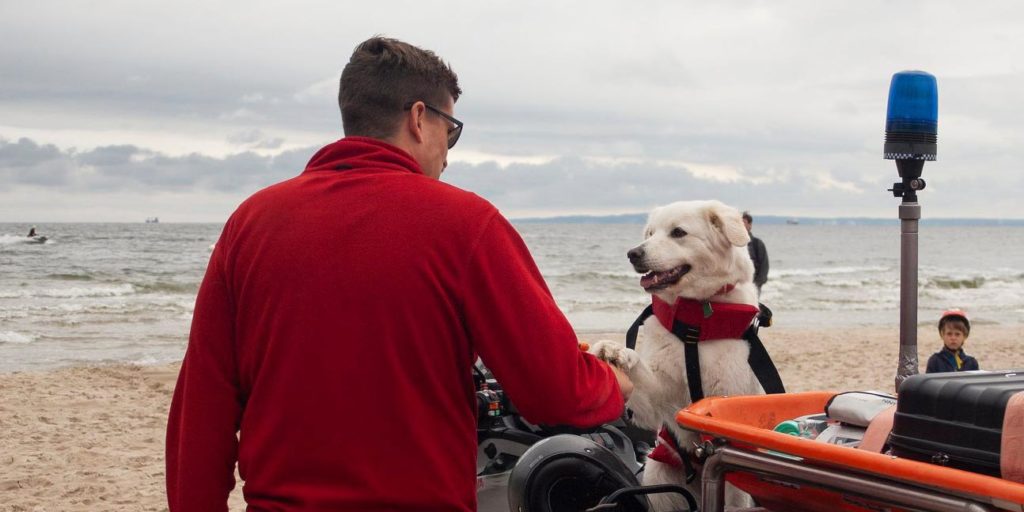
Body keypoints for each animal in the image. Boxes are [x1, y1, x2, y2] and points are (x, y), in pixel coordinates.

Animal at [590, 200, 768, 510]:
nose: (633, 253)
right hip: (658, 477)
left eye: (678, 232)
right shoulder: (657, 397)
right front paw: (615, 353)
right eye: (650, 233)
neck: (698, 318)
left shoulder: (727, 397)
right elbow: (641, 374)